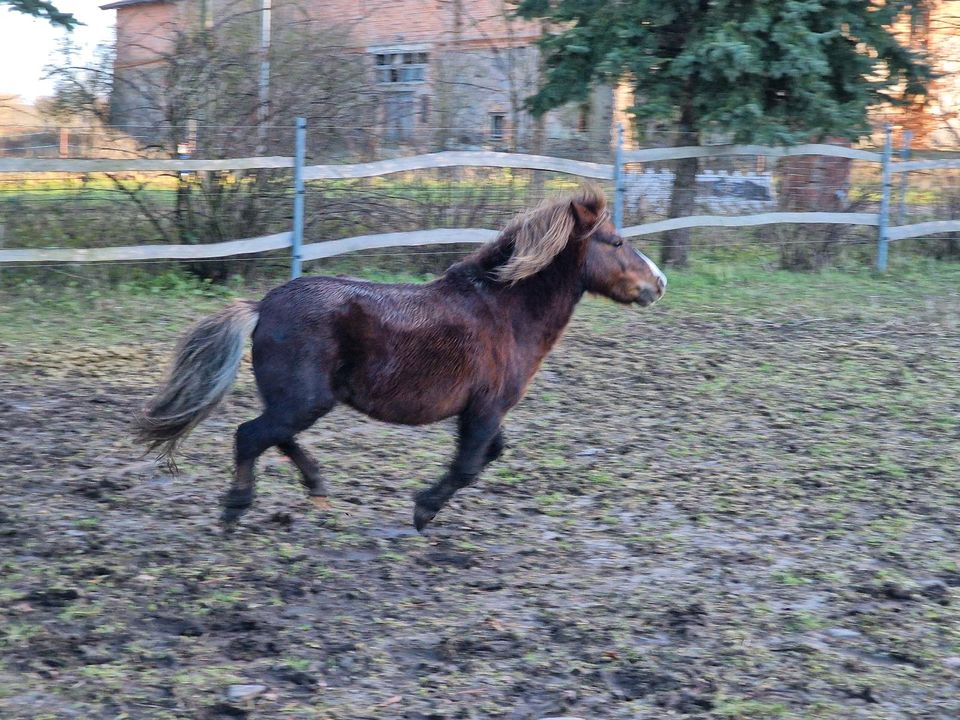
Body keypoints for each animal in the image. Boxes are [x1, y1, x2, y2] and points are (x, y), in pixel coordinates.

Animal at [135, 188, 664, 532]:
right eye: (616, 242)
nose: (658, 284)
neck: (503, 309)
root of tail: (262, 305)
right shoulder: (486, 409)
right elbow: (468, 466)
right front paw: (423, 510)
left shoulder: (484, 412)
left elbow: (489, 455)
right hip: (304, 400)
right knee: (251, 436)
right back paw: (236, 508)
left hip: (301, 401)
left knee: (275, 436)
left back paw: (317, 486)